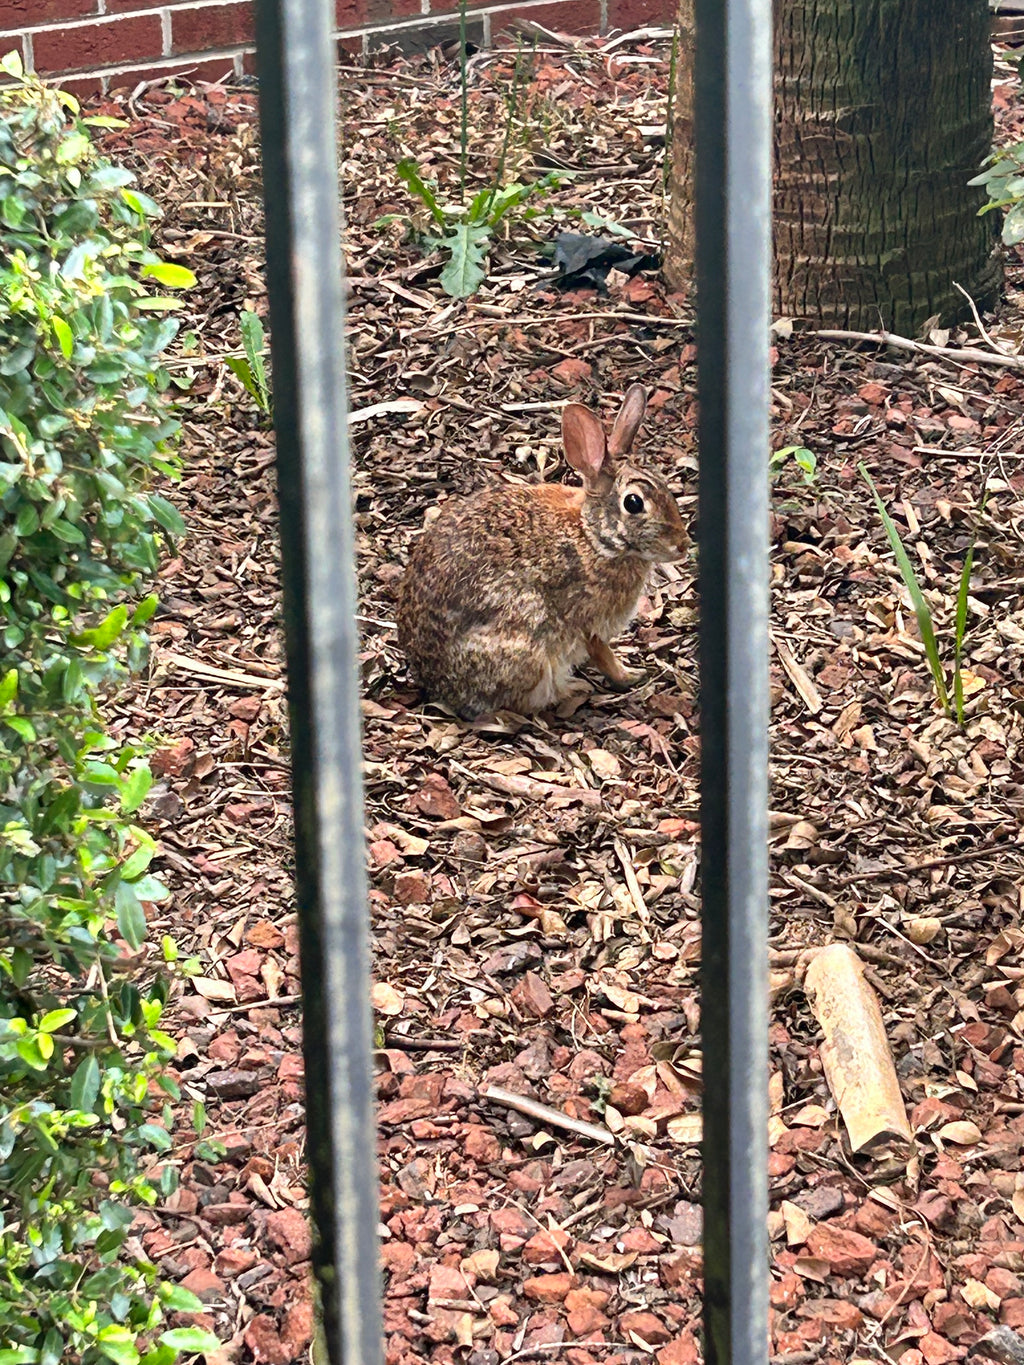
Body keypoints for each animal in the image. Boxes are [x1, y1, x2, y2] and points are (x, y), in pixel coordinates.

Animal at [396, 384, 689, 719]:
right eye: (634, 503)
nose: (682, 545)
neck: (594, 537)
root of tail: (434, 683)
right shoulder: (589, 623)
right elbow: (602, 654)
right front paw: (629, 676)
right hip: (527, 642)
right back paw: (572, 690)